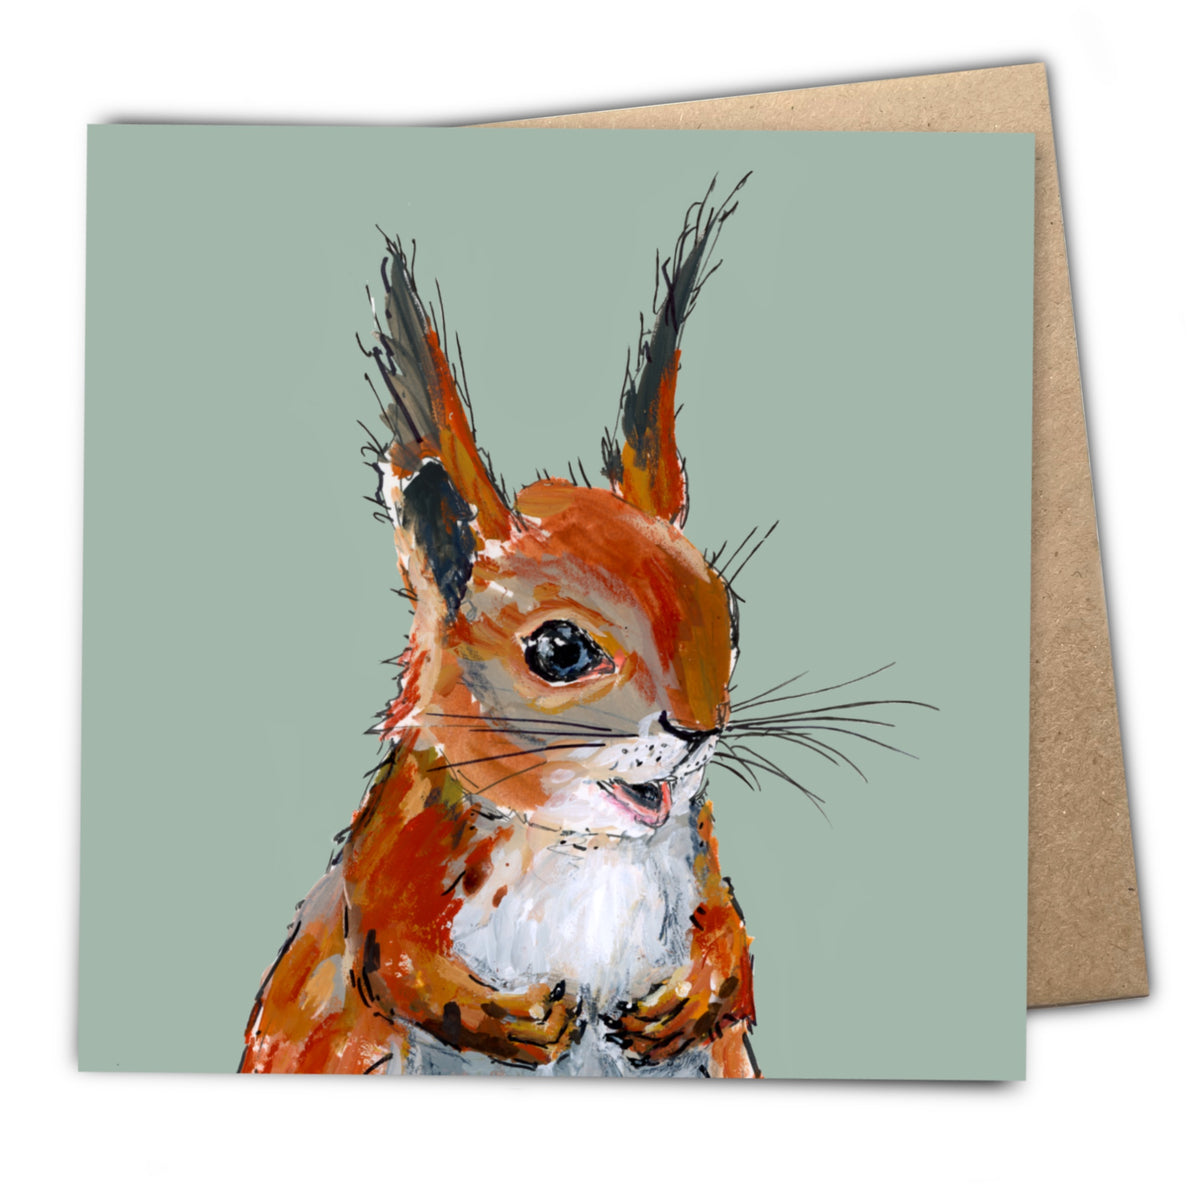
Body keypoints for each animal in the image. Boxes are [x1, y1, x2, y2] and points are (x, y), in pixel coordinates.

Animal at [240, 177, 759, 1077]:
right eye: (558, 649)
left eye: (725, 615)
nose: (700, 731)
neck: (580, 842)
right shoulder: (392, 854)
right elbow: (391, 958)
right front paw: (511, 1018)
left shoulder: (698, 849)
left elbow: (733, 945)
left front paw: (688, 997)